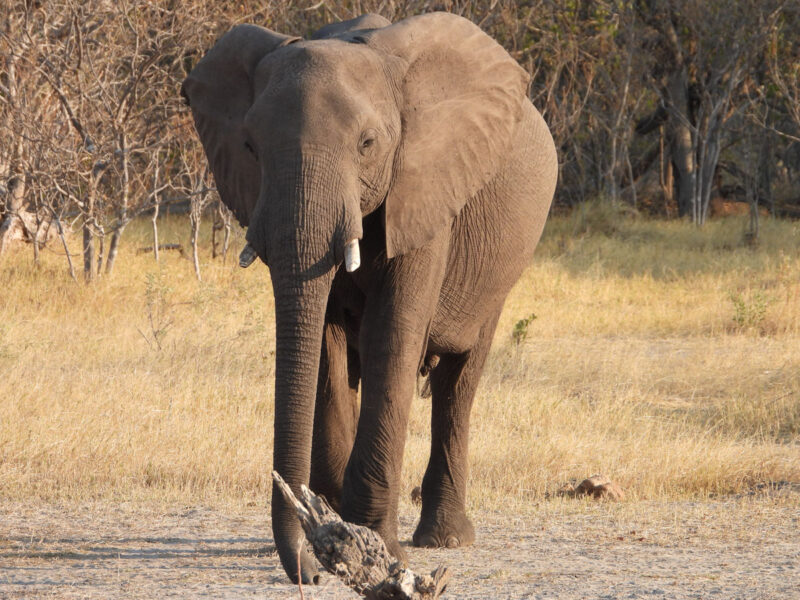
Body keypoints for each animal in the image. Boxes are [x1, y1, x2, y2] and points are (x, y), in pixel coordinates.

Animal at [181, 11, 557, 584]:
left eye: (367, 144)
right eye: (249, 147)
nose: (310, 574)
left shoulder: (427, 189)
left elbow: (391, 335)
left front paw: (372, 544)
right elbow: (322, 343)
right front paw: (337, 535)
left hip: (499, 270)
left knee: (458, 381)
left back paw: (445, 540)